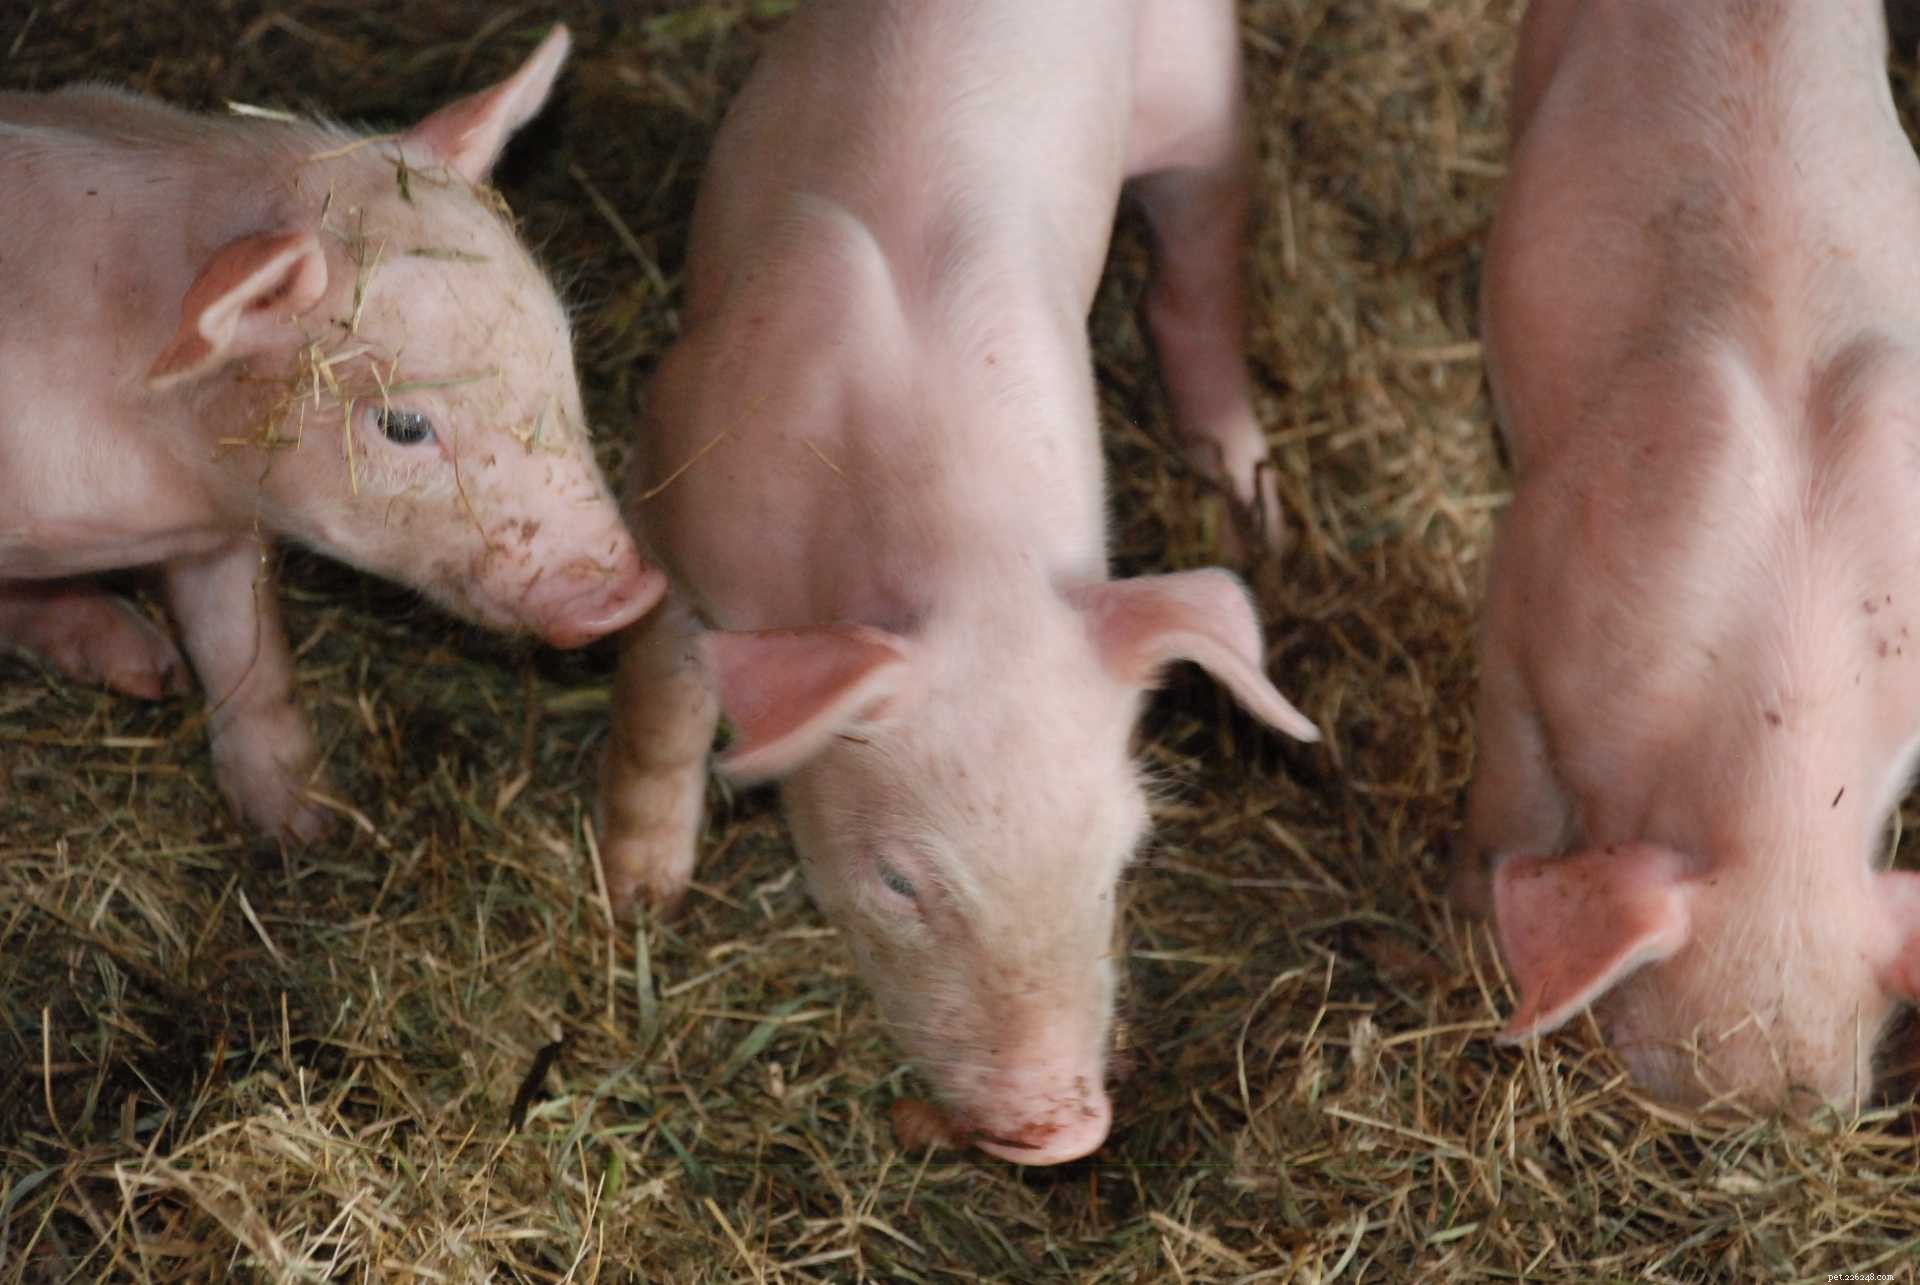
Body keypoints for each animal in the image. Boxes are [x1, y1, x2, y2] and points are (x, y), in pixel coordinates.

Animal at [0, 26, 662, 843]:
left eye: (560, 350)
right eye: (404, 424)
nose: (630, 594)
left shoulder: (224, 523)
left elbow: (248, 652)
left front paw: (305, 828)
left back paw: (148, 669)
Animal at [597, 0, 1318, 1166]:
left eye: (1120, 858)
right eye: (900, 881)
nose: (1064, 1132)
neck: (960, 555)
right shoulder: (670, 491)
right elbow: (660, 704)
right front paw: (638, 902)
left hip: (1203, 96)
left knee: (1199, 287)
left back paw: (1258, 506)